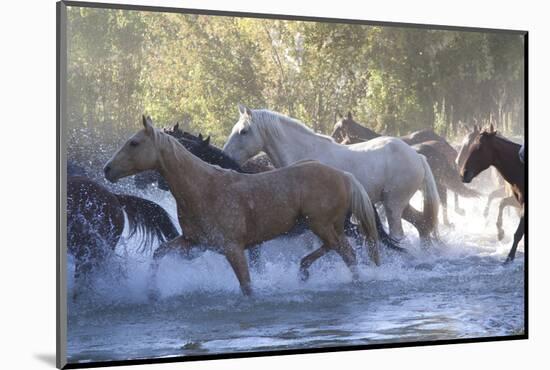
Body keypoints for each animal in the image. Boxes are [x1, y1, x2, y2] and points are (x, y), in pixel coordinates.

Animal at [105, 117, 386, 296]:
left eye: (134, 143)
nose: (107, 170)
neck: (203, 186)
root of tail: (345, 176)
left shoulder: (234, 248)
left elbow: (247, 286)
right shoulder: (193, 243)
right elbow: (158, 253)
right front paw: (152, 291)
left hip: (324, 226)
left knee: (348, 253)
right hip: (324, 227)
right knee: (338, 249)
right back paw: (304, 271)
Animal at [222, 105, 442, 243]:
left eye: (243, 131)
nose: (226, 155)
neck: (306, 155)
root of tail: (416, 156)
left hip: (393, 205)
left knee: (399, 234)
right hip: (398, 205)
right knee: (422, 226)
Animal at [462, 126, 528, 264]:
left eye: (479, 148)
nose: (463, 173)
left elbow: (518, 233)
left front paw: (509, 257)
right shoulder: (518, 202)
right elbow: (502, 203)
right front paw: (500, 233)